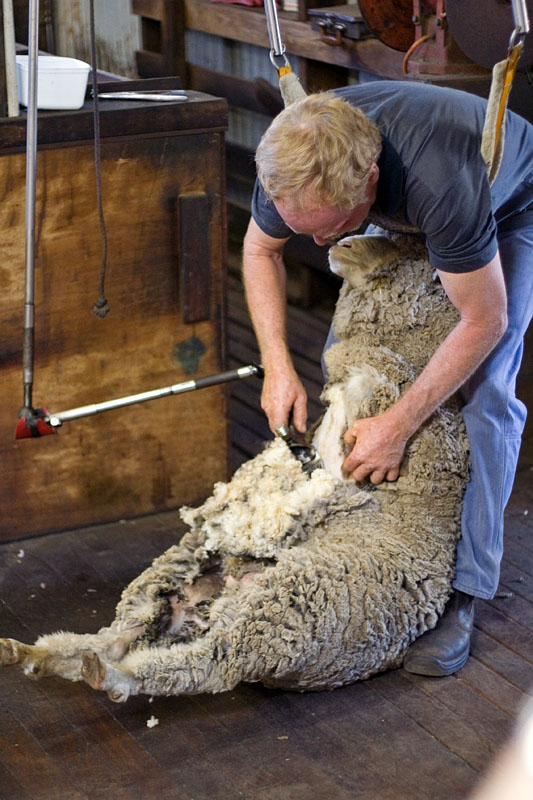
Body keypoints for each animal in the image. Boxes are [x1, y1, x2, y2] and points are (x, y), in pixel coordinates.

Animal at [0, 230, 468, 700]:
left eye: (410, 254)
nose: (343, 245)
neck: (405, 351)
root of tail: (218, 602)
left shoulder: (381, 402)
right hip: (181, 579)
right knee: (119, 640)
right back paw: (32, 655)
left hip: (280, 612)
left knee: (193, 666)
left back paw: (103, 675)